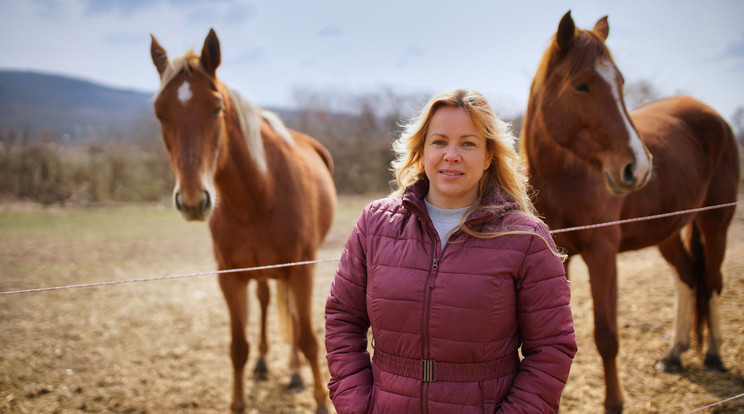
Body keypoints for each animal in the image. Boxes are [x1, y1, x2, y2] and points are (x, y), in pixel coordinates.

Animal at [150, 29, 336, 414]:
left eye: (216, 108)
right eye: (160, 113)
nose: (193, 200)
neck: (257, 197)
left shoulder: (302, 270)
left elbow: (309, 338)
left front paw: (320, 400)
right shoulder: (229, 276)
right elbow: (238, 347)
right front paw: (238, 400)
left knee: (292, 316)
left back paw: (295, 373)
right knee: (265, 301)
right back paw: (265, 364)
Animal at [520, 10, 740, 414]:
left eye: (620, 82)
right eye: (582, 86)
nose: (637, 167)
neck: (566, 178)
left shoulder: (603, 255)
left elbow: (606, 335)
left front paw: (614, 403)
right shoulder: (555, 257)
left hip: (715, 221)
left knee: (712, 281)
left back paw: (714, 357)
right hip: (668, 231)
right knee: (688, 277)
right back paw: (673, 354)